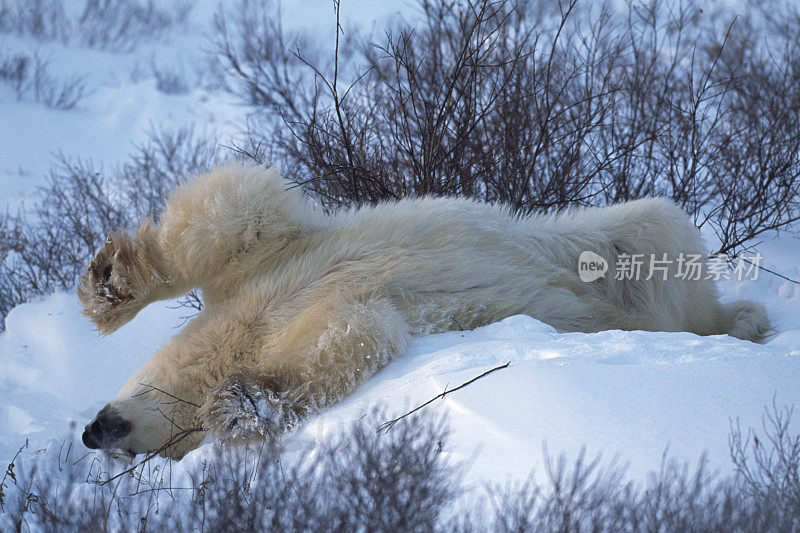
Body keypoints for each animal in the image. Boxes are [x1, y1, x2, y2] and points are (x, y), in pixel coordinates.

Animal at [78, 163, 772, 458]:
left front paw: (110, 281)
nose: (90, 432)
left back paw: (741, 323)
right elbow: (354, 335)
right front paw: (243, 402)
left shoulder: (271, 256)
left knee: (655, 234)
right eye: (136, 455)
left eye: (125, 438)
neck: (239, 329)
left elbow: (231, 208)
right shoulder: (315, 309)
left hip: (600, 238)